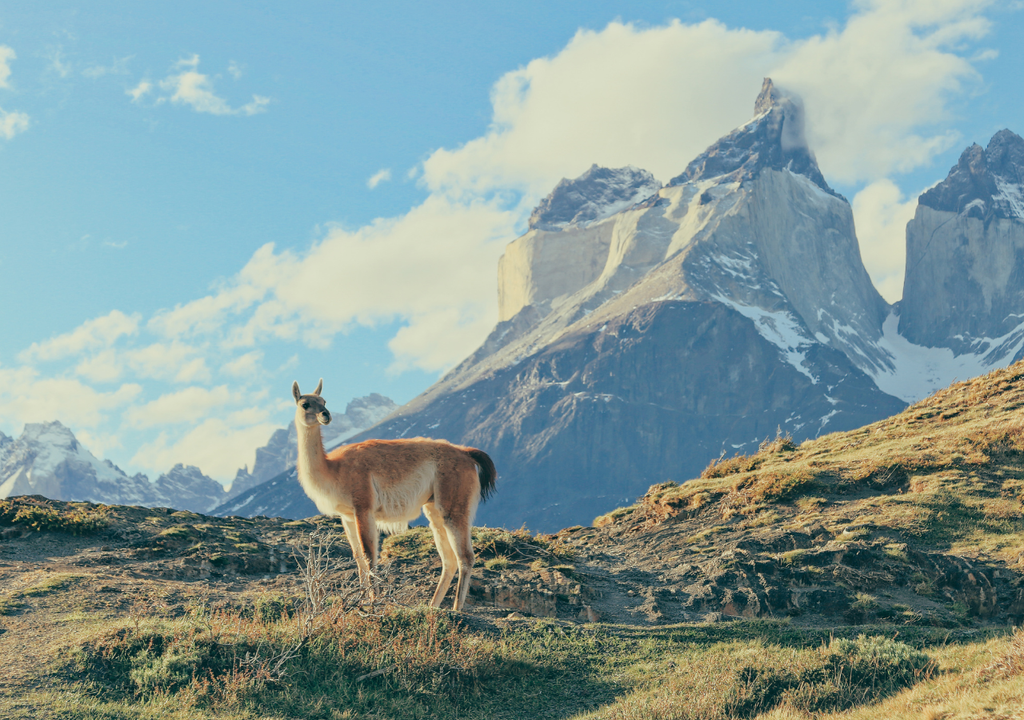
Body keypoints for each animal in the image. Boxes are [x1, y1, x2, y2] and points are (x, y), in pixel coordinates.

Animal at [292, 379, 496, 611]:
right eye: (305, 404)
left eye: (324, 401)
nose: (325, 415)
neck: (334, 469)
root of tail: (465, 452)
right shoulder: (347, 516)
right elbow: (357, 558)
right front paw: (360, 600)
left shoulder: (364, 506)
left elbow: (369, 556)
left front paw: (373, 602)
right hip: (434, 508)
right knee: (449, 560)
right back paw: (432, 606)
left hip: (455, 502)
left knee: (465, 557)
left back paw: (456, 608)